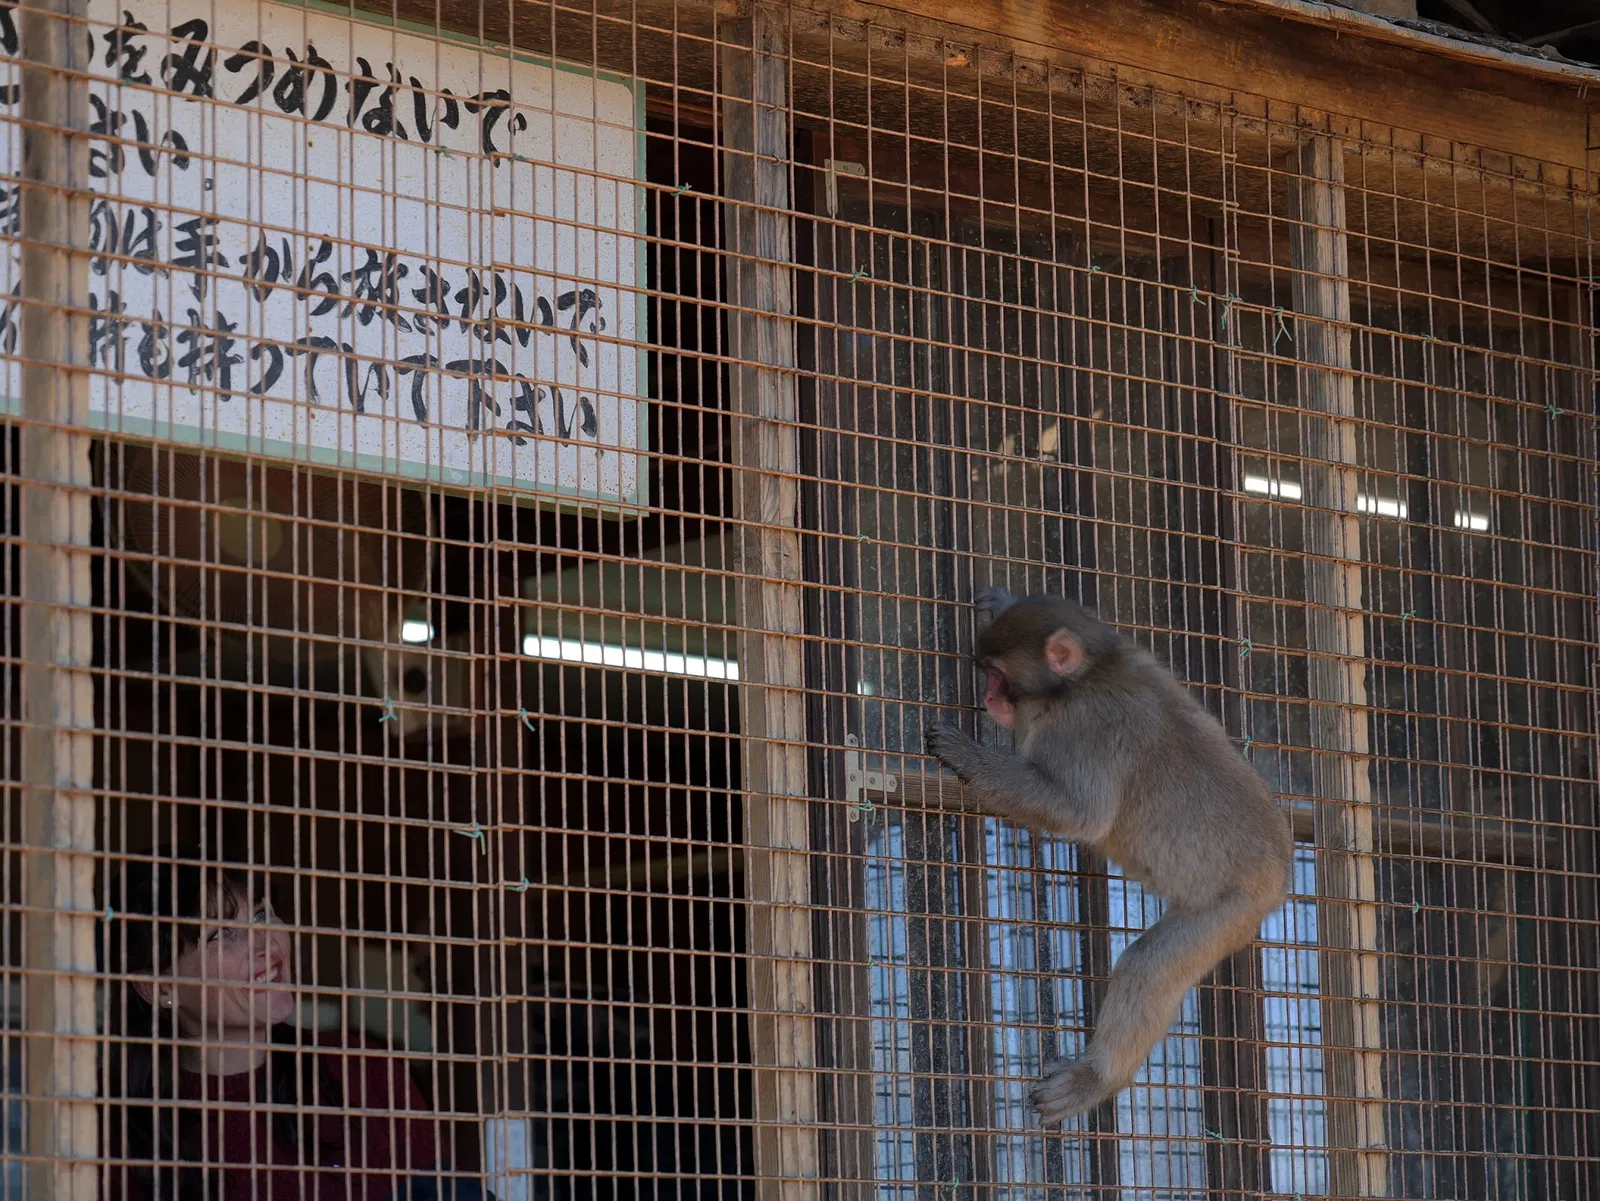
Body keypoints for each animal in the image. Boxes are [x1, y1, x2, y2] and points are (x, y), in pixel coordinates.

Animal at [923, 587, 1292, 1125]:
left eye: (996, 675)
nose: (989, 698)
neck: (1091, 673)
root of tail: (1280, 873)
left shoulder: (1087, 726)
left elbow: (1079, 813)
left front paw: (966, 754)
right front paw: (1002, 599)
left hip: (1231, 909)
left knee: (1148, 966)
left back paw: (1096, 1079)